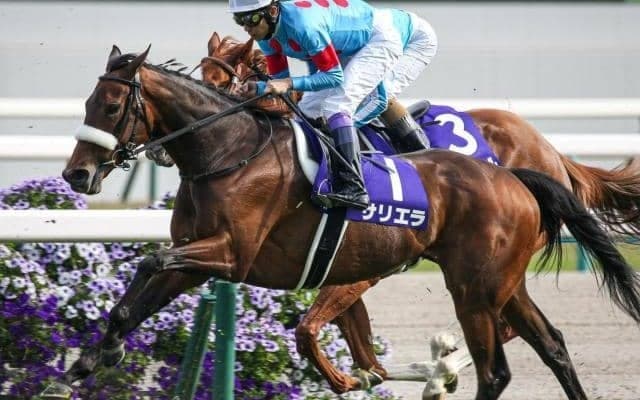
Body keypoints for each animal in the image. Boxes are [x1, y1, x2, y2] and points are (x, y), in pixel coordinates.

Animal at [54, 45, 640, 400]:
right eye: (86, 101)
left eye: (111, 106)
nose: (76, 173)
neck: (230, 152)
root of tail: (525, 168)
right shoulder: (200, 258)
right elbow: (138, 293)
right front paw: (89, 361)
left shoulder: (232, 254)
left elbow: (155, 261)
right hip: (502, 281)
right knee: (552, 344)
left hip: (474, 287)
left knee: (498, 365)